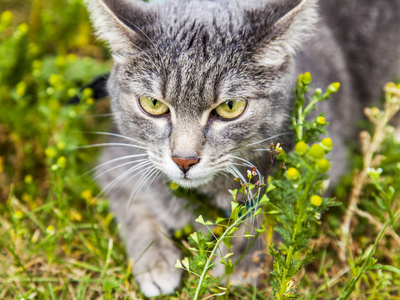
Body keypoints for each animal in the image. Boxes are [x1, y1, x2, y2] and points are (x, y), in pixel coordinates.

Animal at [84, 0, 400, 296]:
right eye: (153, 104)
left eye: (230, 107)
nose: (184, 160)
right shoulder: (116, 159)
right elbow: (134, 211)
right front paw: (155, 261)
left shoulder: (322, 168)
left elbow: (272, 211)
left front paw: (239, 264)